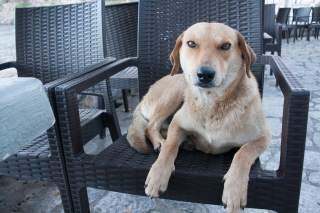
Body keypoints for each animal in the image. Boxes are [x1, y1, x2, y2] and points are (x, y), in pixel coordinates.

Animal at [126, 22, 272, 213]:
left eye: (226, 46)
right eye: (191, 44)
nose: (205, 74)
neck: (210, 104)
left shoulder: (264, 137)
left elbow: (243, 153)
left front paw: (235, 191)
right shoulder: (177, 123)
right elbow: (170, 147)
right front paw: (158, 175)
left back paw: (187, 142)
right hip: (177, 89)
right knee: (151, 126)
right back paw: (161, 143)